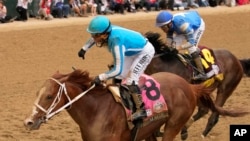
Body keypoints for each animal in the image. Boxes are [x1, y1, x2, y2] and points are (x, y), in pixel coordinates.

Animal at [23, 69, 246, 141]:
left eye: (49, 96)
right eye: (37, 94)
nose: (28, 122)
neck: (95, 111)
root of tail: (189, 86)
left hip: (173, 125)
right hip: (150, 130)